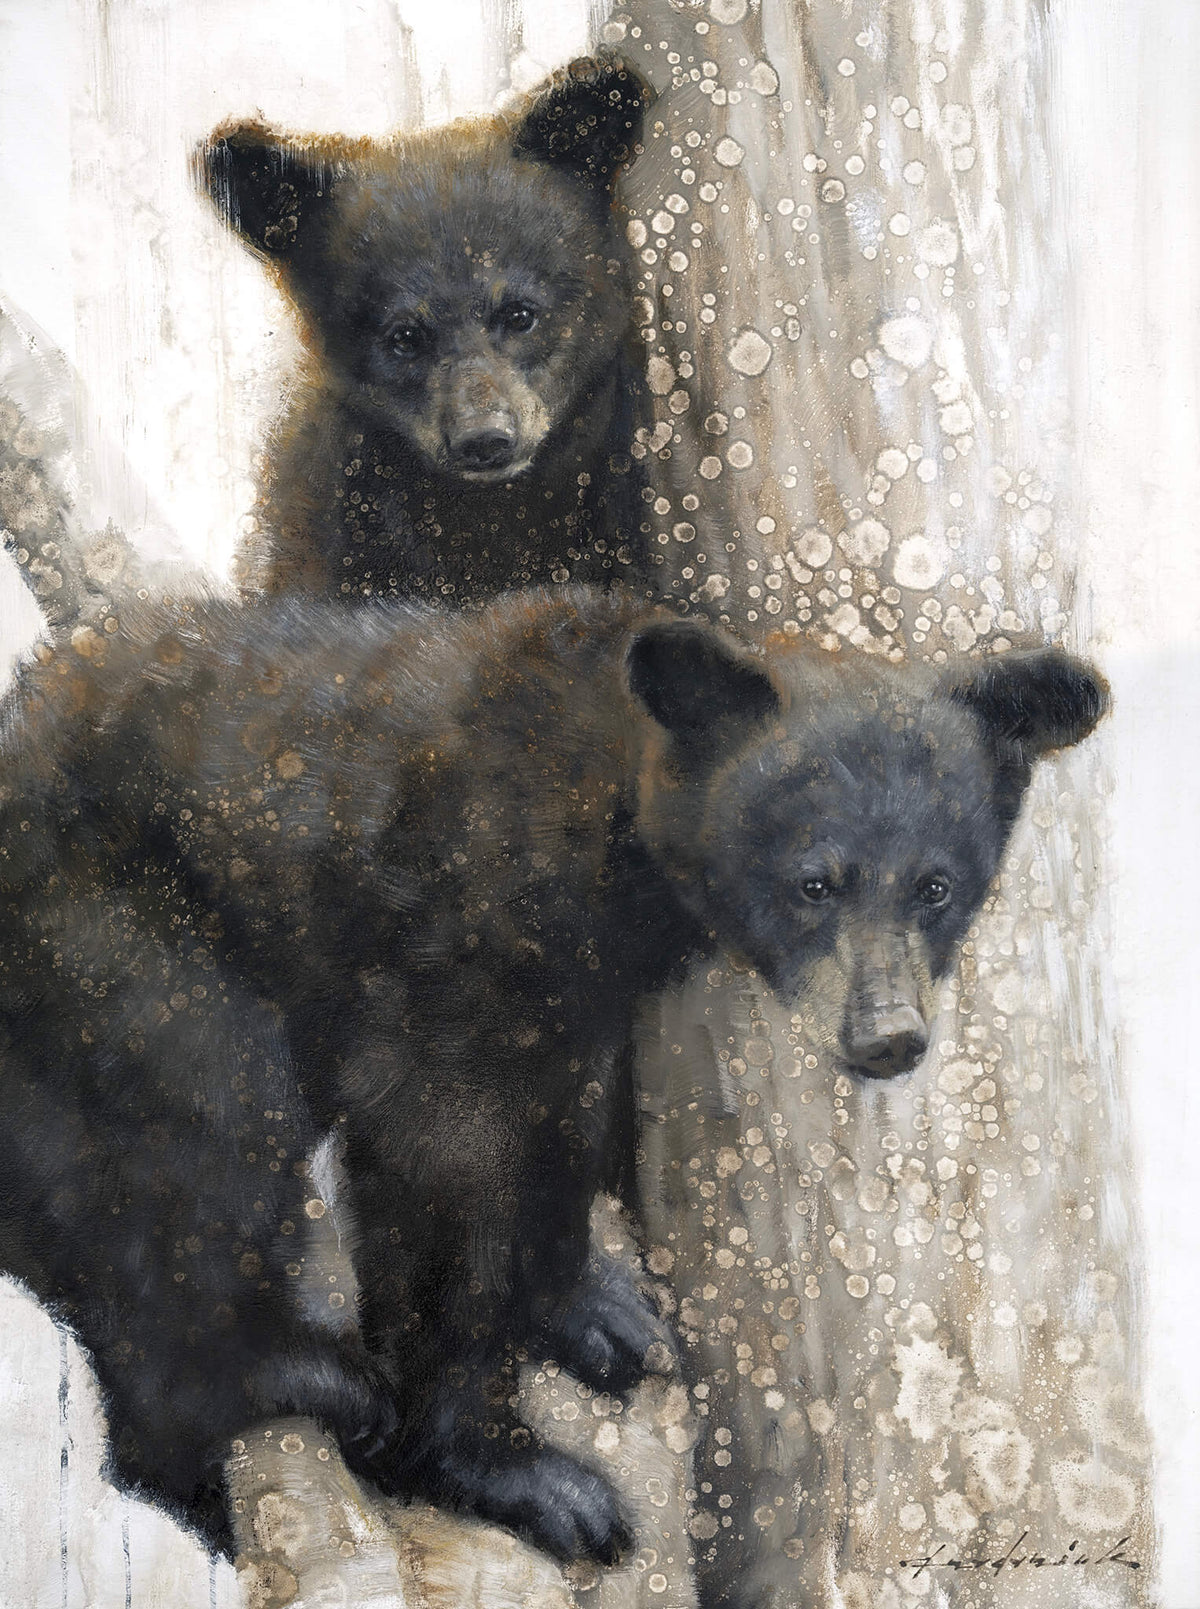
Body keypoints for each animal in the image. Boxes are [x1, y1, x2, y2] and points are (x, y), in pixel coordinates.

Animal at [0, 584, 1106, 1563]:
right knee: (198, 1129)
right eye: (814, 882)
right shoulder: (452, 937)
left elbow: (564, 1116)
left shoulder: (578, 997)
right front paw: (520, 1474)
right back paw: (286, 1376)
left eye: (937, 885)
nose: (887, 1036)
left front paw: (596, 1309)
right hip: (114, 939)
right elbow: (443, 1162)